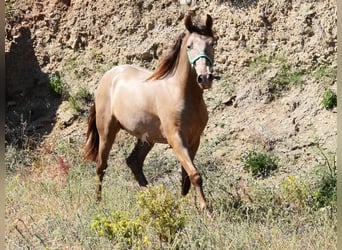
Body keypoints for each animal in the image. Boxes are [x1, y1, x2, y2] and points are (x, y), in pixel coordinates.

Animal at [83, 13, 214, 211]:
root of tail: (109, 75)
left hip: (146, 138)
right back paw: (98, 203)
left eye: (212, 43)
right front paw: (206, 210)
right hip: (107, 132)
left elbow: (186, 177)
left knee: (133, 162)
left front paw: (183, 206)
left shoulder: (194, 140)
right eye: (190, 46)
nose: (205, 78)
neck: (182, 94)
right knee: (101, 165)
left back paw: (152, 199)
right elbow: (195, 175)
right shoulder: (176, 139)